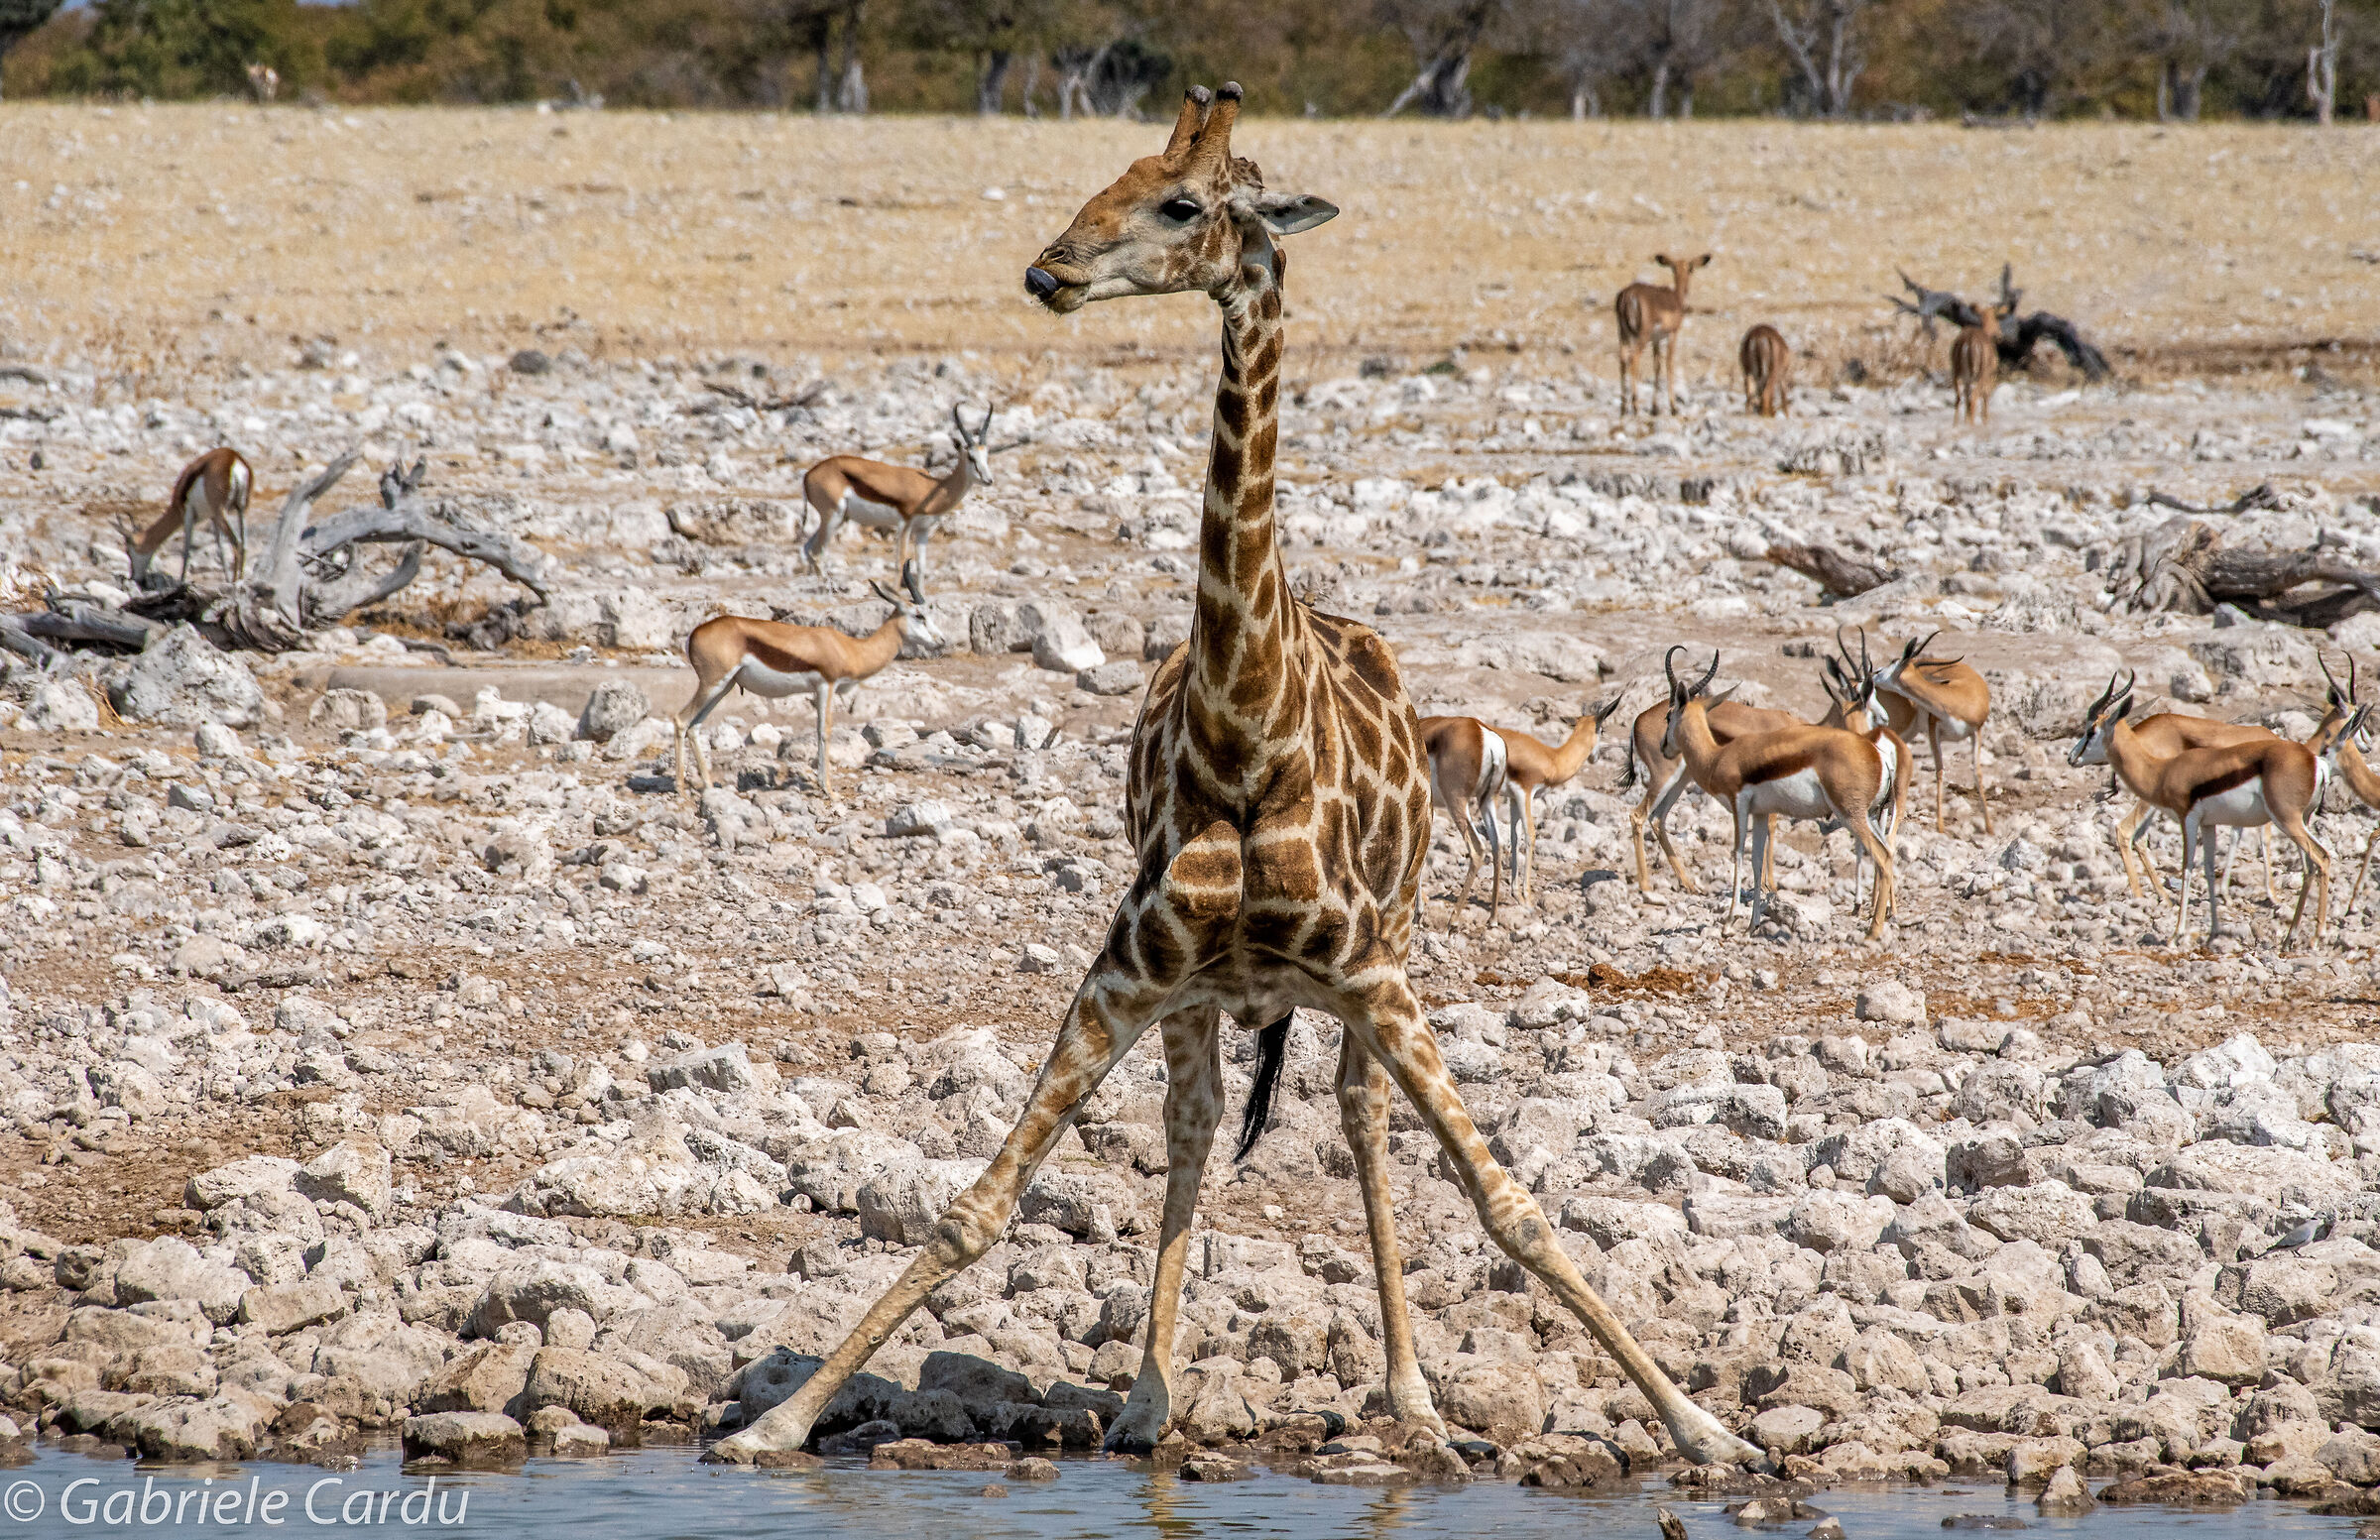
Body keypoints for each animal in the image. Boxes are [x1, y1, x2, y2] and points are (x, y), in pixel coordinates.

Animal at [708, 83, 1759, 1469]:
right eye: (1110, 178)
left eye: (1181, 204)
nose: (1048, 271)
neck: (1248, 736)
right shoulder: (1128, 966)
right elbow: (976, 1204)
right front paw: (780, 1419)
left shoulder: (1371, 970)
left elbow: (1514, 1207)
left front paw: (1706, 1427)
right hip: (1206, 993)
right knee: (1197, 1119)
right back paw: (1151, 1396)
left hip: (1389, 952)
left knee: (1362, 1120)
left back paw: (1416, 1399)